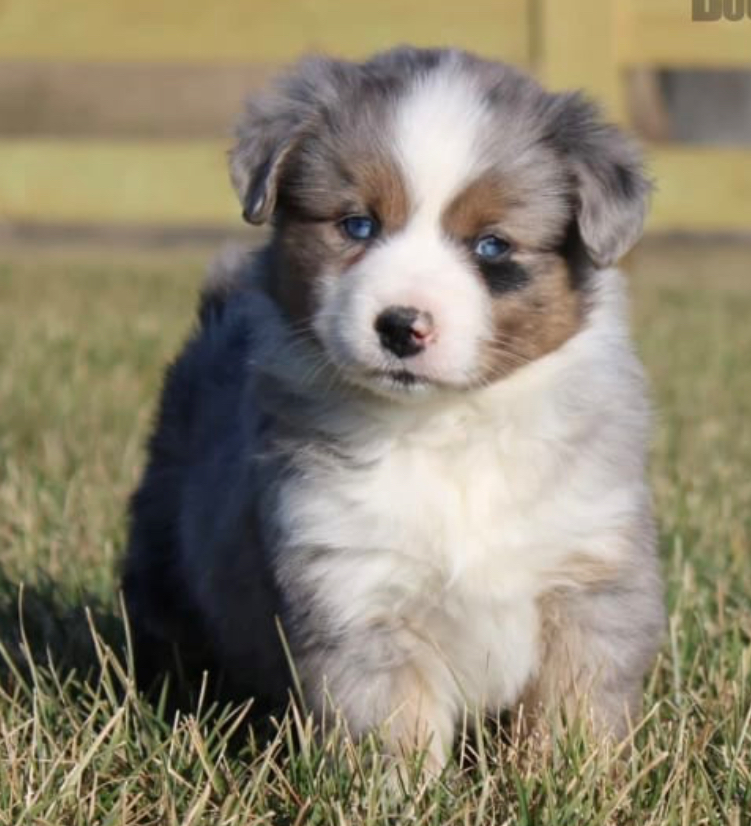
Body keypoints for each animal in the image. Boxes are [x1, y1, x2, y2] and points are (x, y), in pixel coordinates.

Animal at [123, 45, 664, 768]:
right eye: (358, 224)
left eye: (491, 246)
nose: (402, 326)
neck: (447, 429)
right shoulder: (354, 586)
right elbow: (393, 729)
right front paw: (396, 788)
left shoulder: (591, 574)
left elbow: (574, 708)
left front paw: (570, 777)